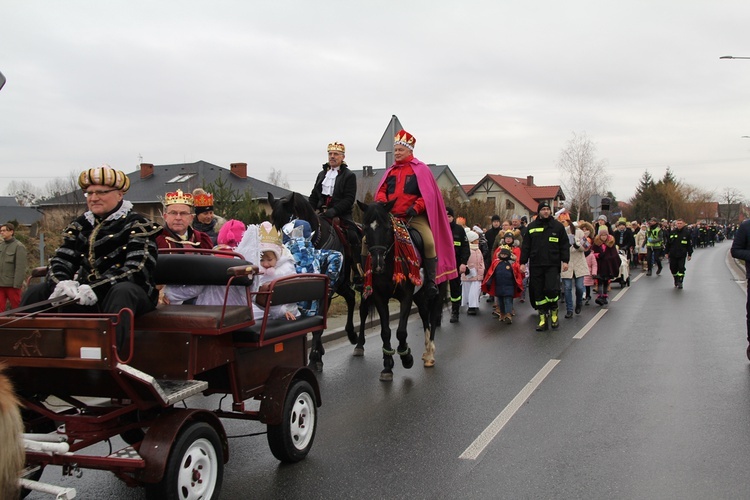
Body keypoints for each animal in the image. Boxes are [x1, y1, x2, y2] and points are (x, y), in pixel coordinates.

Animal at [268, 191, 362, 372]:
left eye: (290, 221)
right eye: (274, 224)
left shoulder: (327, 289)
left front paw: (314, 358)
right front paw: (316, 353)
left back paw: (357, 341)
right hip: (342, 284)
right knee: (351, 296)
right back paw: (350, 336)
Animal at [354, 201, 444, 380]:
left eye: (387, 228)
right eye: (365, 228)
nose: (377, 264)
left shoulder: (406, 296)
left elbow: (401, 331)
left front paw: (406, 357)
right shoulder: (379, 297)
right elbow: (385, 332)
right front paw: (387, 365)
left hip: (434, 289)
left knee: (432, 315)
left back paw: (430, 353)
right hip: (419, 295)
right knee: (424, 314)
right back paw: (426, 352)